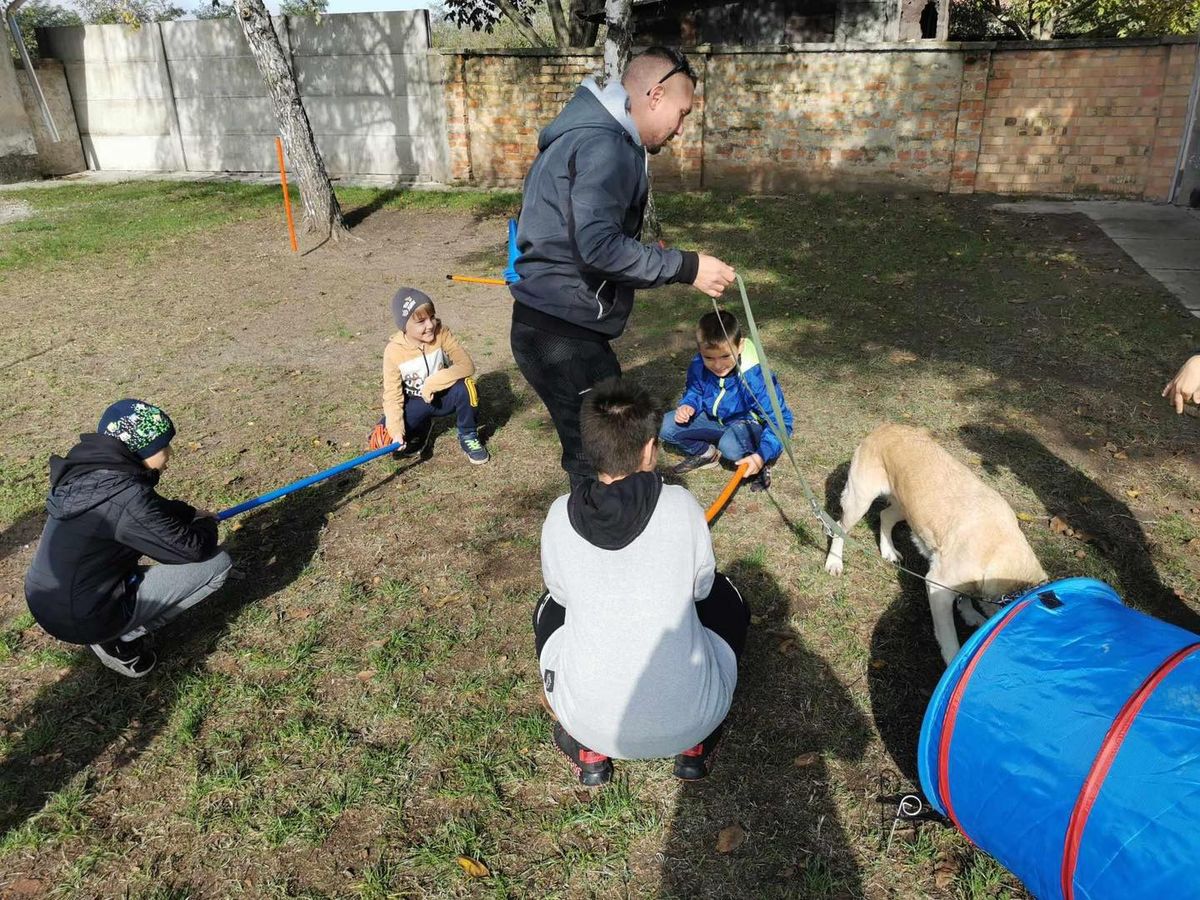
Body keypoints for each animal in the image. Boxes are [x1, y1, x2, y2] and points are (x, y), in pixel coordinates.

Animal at [825, 422, 1041, 662]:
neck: (998, 550)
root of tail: (887, 426)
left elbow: (965, 597)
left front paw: (970, 614)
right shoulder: (938, 586)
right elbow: (950, 642)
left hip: (905, 507)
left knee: (885, 516)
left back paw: (888, 551)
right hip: (859, 501)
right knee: (839, 526)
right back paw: (834, 562)